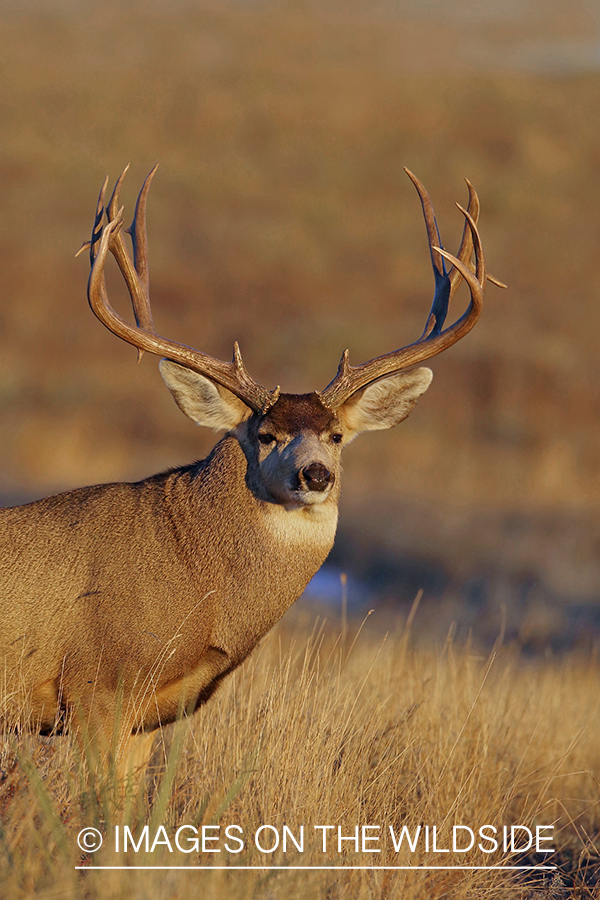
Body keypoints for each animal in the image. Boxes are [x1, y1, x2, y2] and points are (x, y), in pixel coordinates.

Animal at [0, 166, 500, 776]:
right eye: (266, 435)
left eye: (336, 436)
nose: (315, 475)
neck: (192, 571)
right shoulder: (95, 686)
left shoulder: (148, 716)